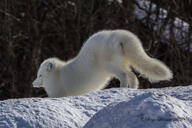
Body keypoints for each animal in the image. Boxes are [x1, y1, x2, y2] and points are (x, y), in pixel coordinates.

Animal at [32, 29, 172, 97]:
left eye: (40, 75)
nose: (33, 83)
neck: (58, 75)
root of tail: (117, 34)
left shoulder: (59, 94)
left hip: (109, 66)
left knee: (124, 76)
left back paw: (121, 89)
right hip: (122, 63)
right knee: (132, 76)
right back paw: (131, 89)